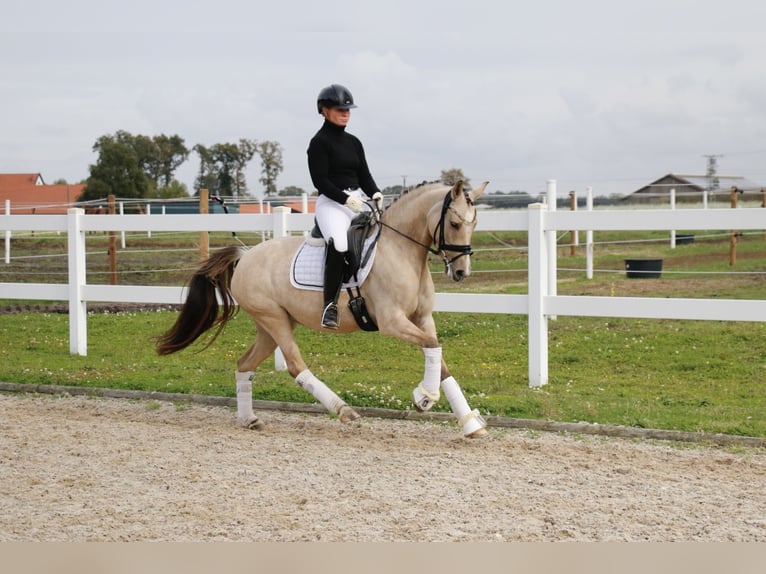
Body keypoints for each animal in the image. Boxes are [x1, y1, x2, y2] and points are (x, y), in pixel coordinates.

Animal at [158, 182, 492, 438]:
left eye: (474, 224)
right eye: (454, 224)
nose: (461, 272)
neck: (401, 250)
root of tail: (245, 254)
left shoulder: (422, 319)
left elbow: (439, 356)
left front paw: (469, 423)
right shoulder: (392, 322)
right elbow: (433, 346)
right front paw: (424, 397)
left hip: (270, 325)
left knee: (244, 364)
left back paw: (249, 419)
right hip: (274, 319)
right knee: (295, 365)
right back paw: (344, 410)